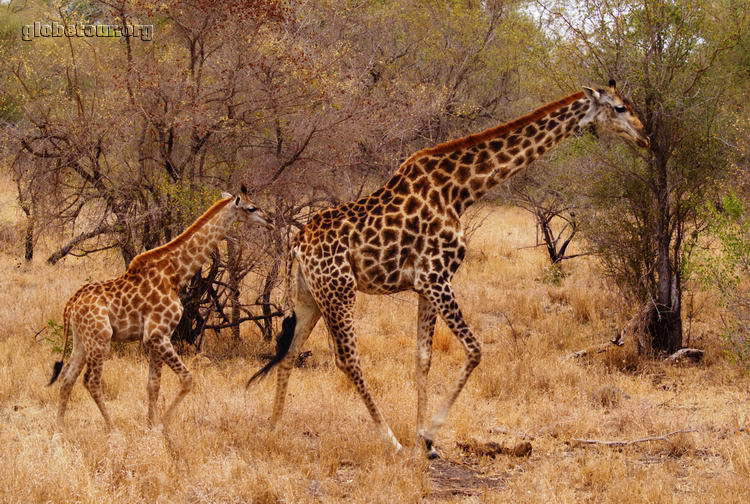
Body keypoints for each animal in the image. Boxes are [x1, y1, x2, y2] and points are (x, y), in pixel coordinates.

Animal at [50, 187, 274, 432]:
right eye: (251, 208)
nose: (270, 221)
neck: (175, 273)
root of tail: (70, 305)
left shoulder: (155, 338)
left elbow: (153, 384)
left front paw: (150, 424)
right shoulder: (158, 334)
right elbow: (187, 379)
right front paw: (163, 424)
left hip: (81, 339)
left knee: (67, 376)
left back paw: (60, 427)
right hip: (100, 338)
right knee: (90, 380)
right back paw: (111, 427)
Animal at [250, 79, 648, 456]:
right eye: (619, 107)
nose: (644, 137)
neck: (460, 191)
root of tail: (298, 244)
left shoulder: (425, 285)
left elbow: (422, 358)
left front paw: (425, 442)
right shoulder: (436, 277)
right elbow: (475, 349)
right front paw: (427, 434)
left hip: (310, 297)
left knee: (289, 353)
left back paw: (274, 427)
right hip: (340, 291)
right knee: (347, 359)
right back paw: (389, 441)